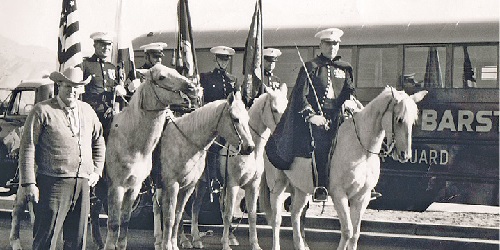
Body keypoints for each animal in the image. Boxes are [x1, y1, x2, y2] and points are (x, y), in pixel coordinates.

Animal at [103, 64, 197, 250]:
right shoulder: (116, 187)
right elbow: (114, 224)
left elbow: (125, 222)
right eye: (161, 77)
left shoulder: (134, 187)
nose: (192, 89)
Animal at [158, 92, 256, 250]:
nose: (250, 147)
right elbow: (170, 217)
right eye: (235, 119)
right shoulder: (172, 185)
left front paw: (173, 244)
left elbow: (178, 215)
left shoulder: (188, 186)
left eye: (247, 119)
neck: (185, 142)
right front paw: (167, 245)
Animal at [260, 86, 428, 250]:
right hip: (277, 186)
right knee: (276, 219)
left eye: (413, 121)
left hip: (301, 189)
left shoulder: (362, 197)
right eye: (399, 119)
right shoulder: (339, 195)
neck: (362, 151)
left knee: (295, 213)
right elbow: (347, 231)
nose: (405, 154)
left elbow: (355, 234)